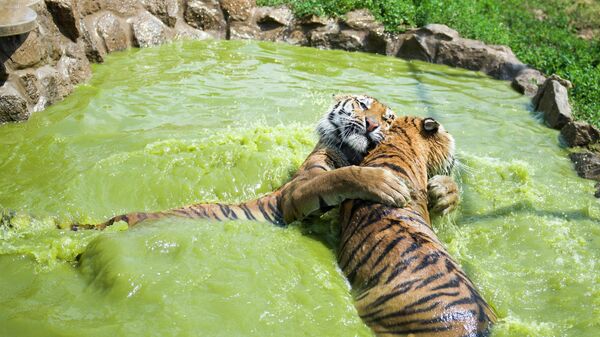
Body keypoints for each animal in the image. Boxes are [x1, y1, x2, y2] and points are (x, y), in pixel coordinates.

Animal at [72, 96, 460, 230]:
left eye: (389, 117)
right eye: (364, 105)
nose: (373, 124)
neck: (353, 151)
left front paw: (445, 192)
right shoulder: (296, 192)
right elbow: (338, 177)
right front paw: (383, 182)